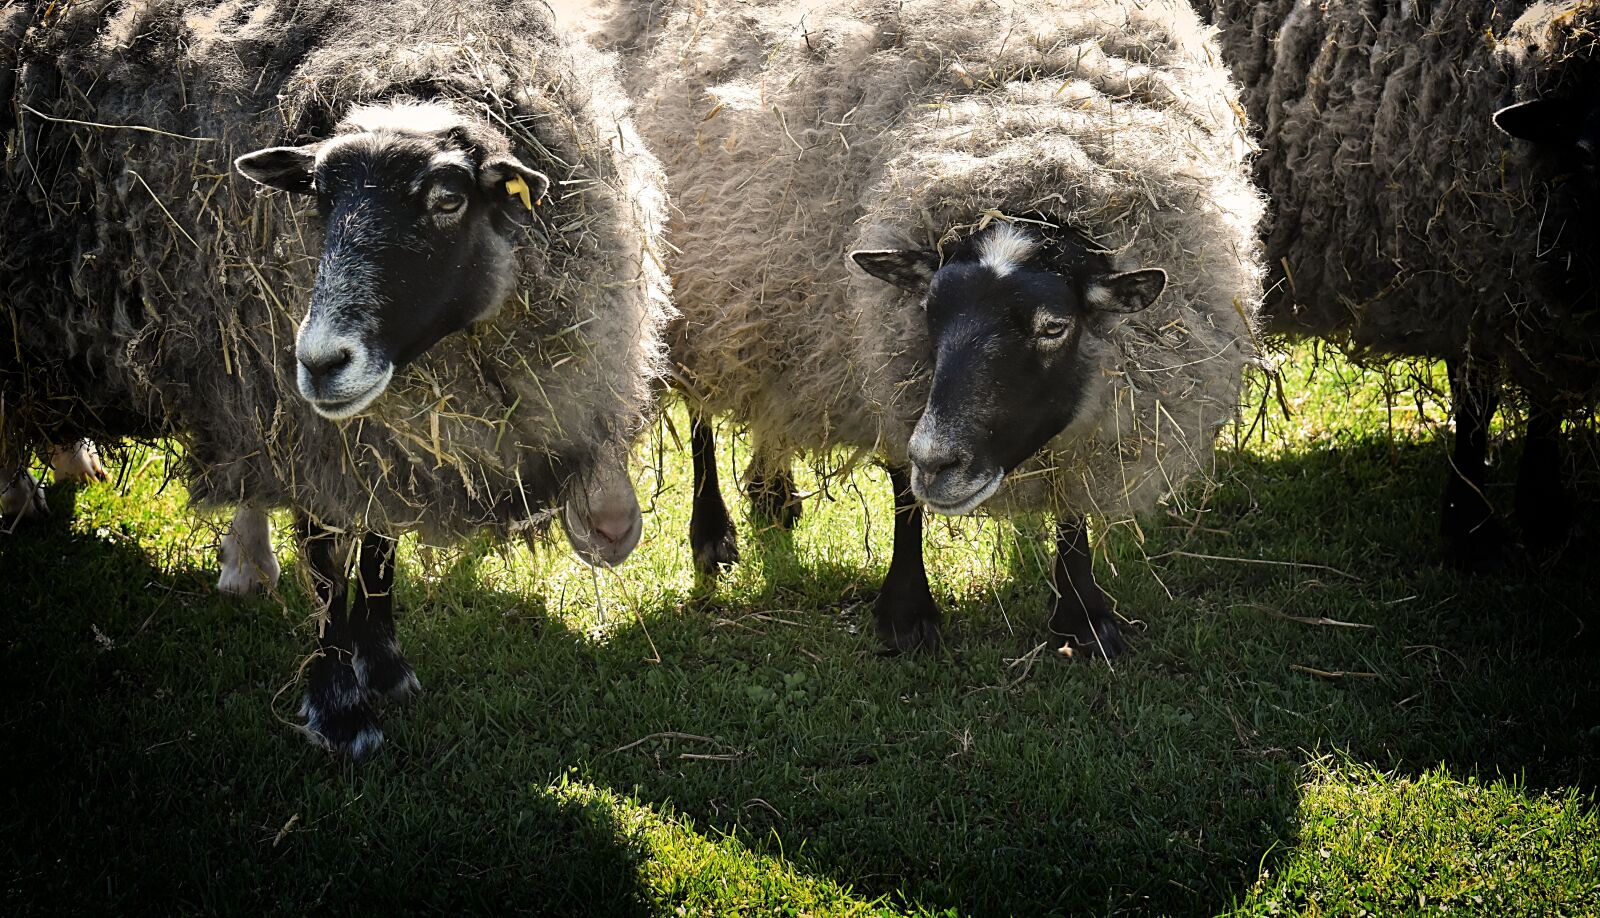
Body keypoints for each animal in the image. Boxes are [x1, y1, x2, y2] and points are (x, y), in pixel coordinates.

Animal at [0, 0, 671, 757]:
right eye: (318, 196)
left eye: (447, 200)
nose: (320, 362)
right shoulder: (307, 433)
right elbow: (325, 564)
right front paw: (338, 706)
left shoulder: (384, 442)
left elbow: (379, 547)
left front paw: (384, 666)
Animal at [607, 0, 1264, 653]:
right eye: (930, 311)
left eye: (1054, 327)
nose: (939, 462)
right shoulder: (880, 360)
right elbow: (903, 490)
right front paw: (906, 610)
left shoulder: (1096, 412)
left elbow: (1073, 495)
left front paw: (1083, 614)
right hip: (696, 298)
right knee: (701, 415)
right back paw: (712, 531)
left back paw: (773, 494)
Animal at [1204, 0, 1600, 569]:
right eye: (1588, 154)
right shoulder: (1469, 284)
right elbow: (1476, 404)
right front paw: (1471, 532)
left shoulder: (1535, 315)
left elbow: (1546, 403)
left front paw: (1543, 516)